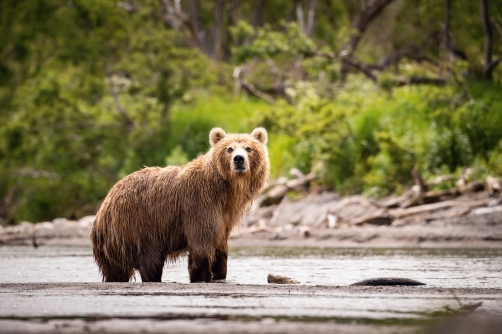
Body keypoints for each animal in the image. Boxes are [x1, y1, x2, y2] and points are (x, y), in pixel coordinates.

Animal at [90, 127, 270, 282]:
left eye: (248, 148)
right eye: (229, 149)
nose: (239, 159)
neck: (225, 191)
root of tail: (103, 208)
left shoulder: (225, 218)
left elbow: (220, 248)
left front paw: (219, 274)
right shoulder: (199, 205)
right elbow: (201, 246)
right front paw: (200, 276)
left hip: (113, 246)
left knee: (115, 271)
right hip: (137, 227)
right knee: (150, 262)